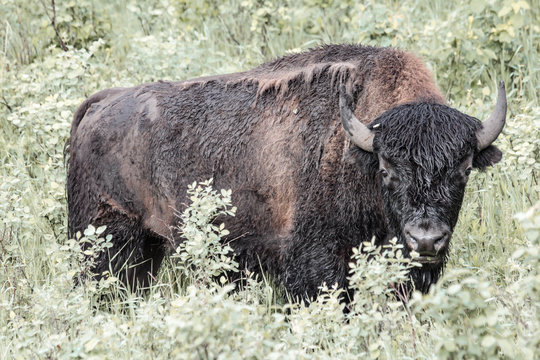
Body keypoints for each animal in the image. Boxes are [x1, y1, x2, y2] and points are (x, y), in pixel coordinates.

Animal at [67, 43, 506, 296]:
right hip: (107, 239)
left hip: (148, 247)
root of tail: (102, 102)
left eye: (464, 169)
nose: (426, 240)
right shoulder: (316, 261)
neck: (358, 147)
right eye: (387, 168)